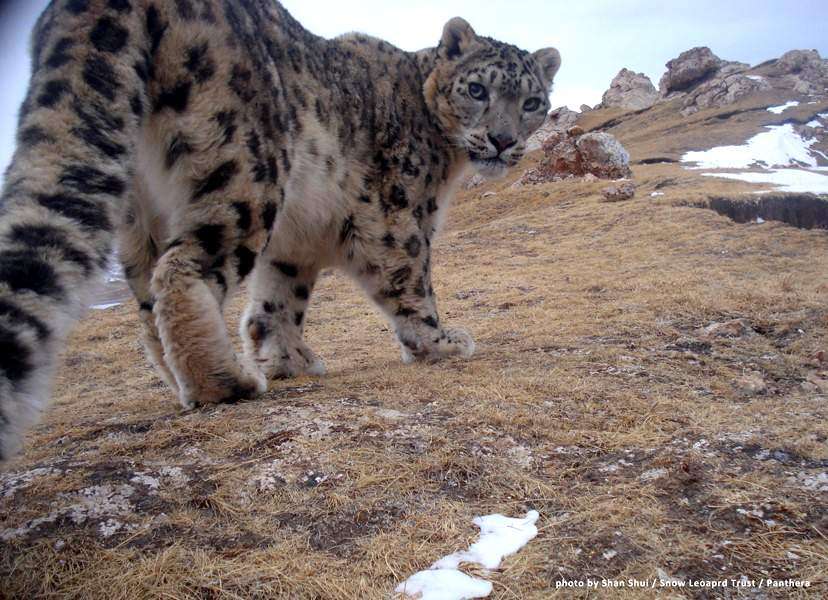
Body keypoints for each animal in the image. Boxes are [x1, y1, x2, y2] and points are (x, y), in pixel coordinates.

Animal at [0, 0, 560, 460]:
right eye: (477, 89)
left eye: (532, 103)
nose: (503, 139)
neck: (447, 161)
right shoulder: (397, 216)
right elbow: (411, 279)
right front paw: (439, 342)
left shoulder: (295, 245)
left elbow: (277, 301)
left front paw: (287, 359)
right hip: (244, 170)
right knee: (182, 269)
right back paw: (225, 381)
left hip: (140, 214)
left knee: (147, 301)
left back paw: (188, 381)